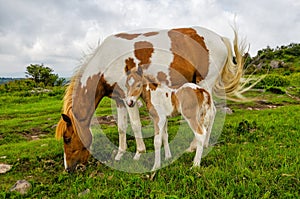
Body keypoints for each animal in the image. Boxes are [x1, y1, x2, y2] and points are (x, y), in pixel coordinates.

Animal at [55, 26, 246, 173]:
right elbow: (122, 127)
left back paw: (197, 146)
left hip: (204, 83)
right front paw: (120, 154)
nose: (68, 169)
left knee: (208, 116)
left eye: (67, 138)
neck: (106, 61)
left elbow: (135, 125)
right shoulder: (119, 100)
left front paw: (138, 153)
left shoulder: (129, 99)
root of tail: (220, 38)